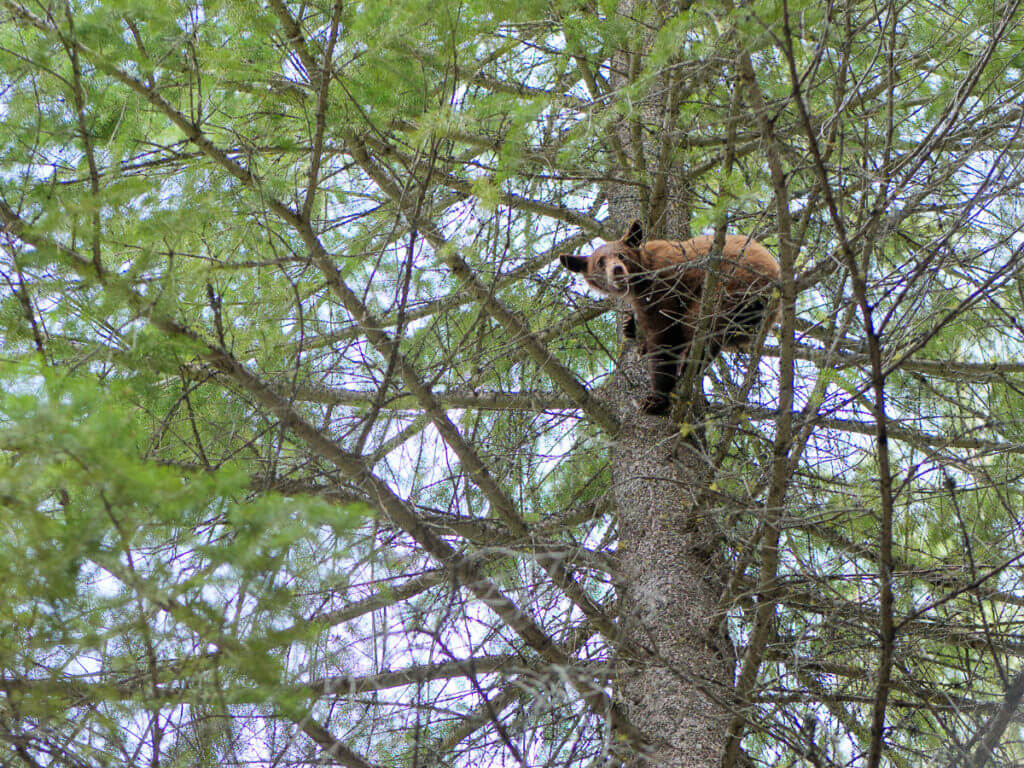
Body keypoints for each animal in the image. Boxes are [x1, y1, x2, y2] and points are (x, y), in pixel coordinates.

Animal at [561, 219, 774, 417]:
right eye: (600, 262)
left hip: (729, 285)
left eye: (621, 255)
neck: (641, 279)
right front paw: (631, 328)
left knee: (701, 324)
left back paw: (692, 360)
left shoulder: (665, 286)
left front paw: (656, 399)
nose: (617, 270)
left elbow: (665, 338)